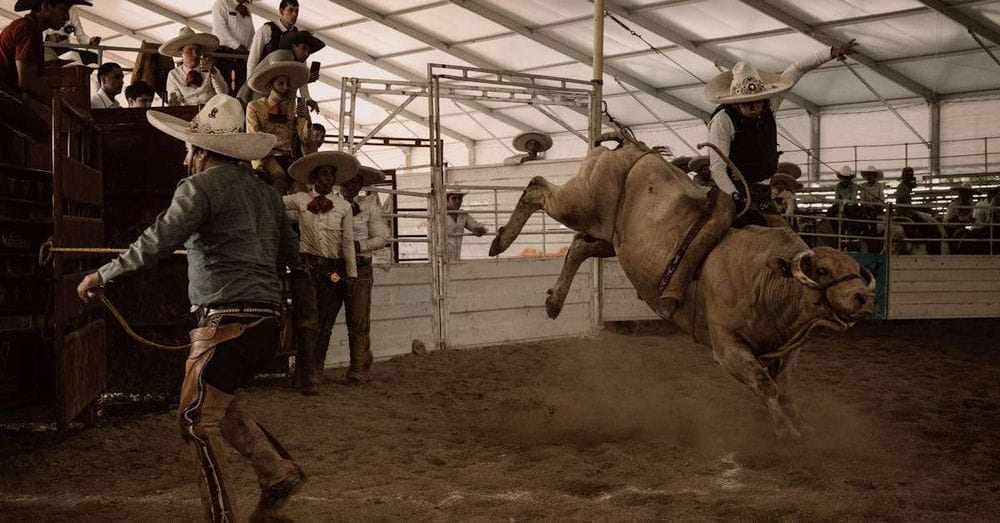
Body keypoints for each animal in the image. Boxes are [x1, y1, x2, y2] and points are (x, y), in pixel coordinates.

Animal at [490, 139, 876, 438]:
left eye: (855, 270)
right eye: (822, 270)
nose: (863, 296)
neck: (769, 280)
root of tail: (635, 148)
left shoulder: (787, 351)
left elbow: (783, 389)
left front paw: (798, 423)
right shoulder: (727, 348)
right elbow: (765, 384)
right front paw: (786, 430)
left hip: (610, 239)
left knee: (577, 248)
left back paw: (554, 302)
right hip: (582, 203)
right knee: (538, 186)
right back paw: (500, 240)